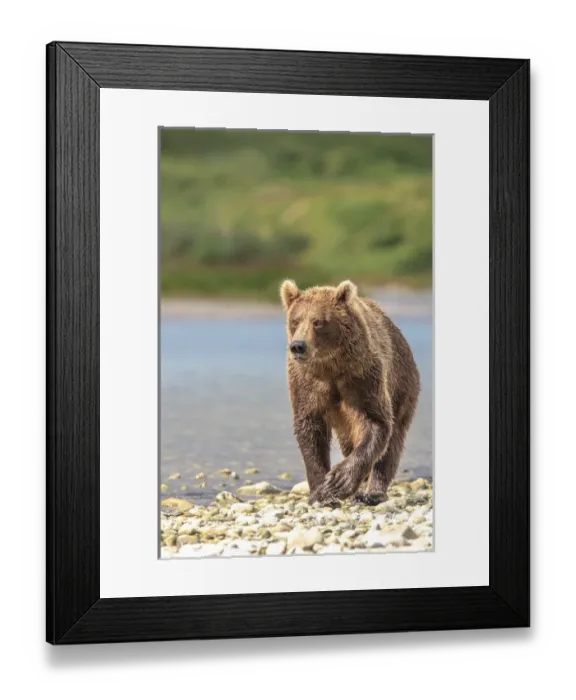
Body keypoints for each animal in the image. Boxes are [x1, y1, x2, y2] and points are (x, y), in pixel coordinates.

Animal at [280, 279, 420, 507]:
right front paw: (323, 494)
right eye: (295, 320)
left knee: (393, 440)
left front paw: (340, 480)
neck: (330, 366)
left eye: (318, 321)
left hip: (403, 385)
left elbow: (376, 421)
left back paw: (373, 492)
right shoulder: (307, 383)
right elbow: (310, 429)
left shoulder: (362, 377)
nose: (298, 346)